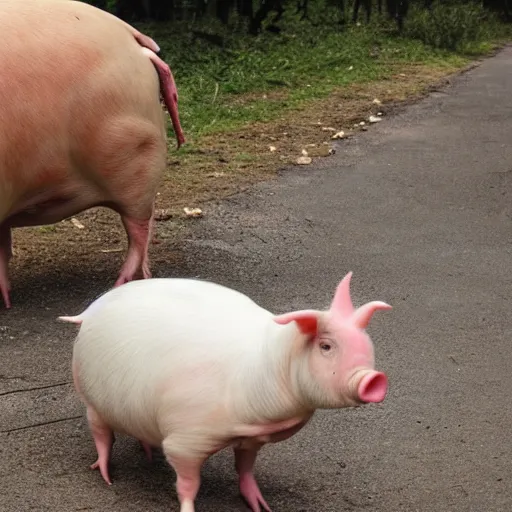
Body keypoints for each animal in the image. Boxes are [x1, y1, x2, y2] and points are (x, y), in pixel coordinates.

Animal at [59, 272, 388, 512]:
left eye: (366, 342)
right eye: (326, 346)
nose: (375, 379)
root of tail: (91, 309)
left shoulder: (252, 439)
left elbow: (245, 468)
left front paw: (261, 506)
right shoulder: (185, 440)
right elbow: (187, 484)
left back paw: (148, 454)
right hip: (89, 395)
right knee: (101, 433)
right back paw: (105, 475)